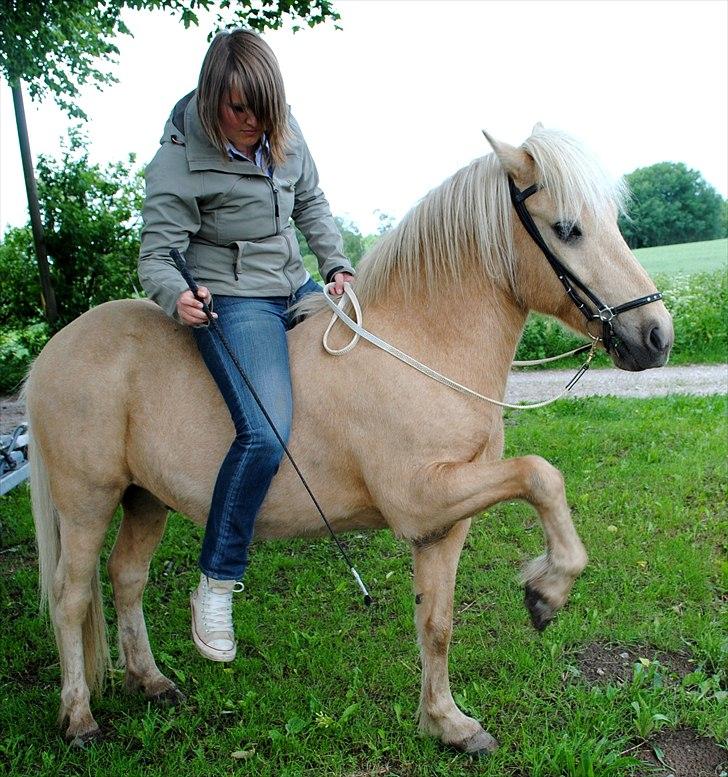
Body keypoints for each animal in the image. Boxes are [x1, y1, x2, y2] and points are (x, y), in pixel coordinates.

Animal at [24, 127, 672, 752]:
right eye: (567, 228)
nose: (656, 335)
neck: (419, 348)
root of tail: (52, 352)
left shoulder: (443, 521)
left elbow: (437, 623)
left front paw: (448, 723)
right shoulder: (420, 501)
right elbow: (540, 474)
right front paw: (548, 592)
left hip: (145, 498)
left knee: (126, 576)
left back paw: (150, 681)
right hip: (86, 502)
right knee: (71, 596)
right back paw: (79, 717)